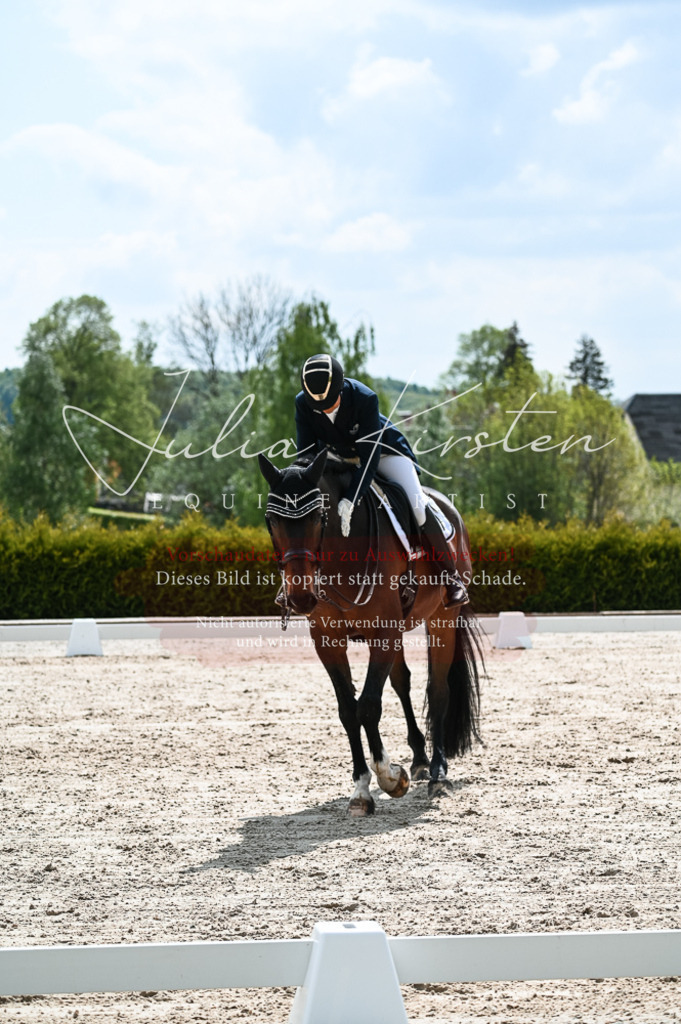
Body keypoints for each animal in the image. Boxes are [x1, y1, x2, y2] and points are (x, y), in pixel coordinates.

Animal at [258, 448, 482, 816]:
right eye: (271, 520)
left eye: (318, 517)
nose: (301, 597)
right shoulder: (328, 641)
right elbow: (349, 710)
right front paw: (362, 789)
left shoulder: (384, 634)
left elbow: (368, 706)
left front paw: (390, 778)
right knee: (402, 682)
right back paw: (419, 759)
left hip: (442, 619)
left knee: (438, 689)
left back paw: (437, 774)